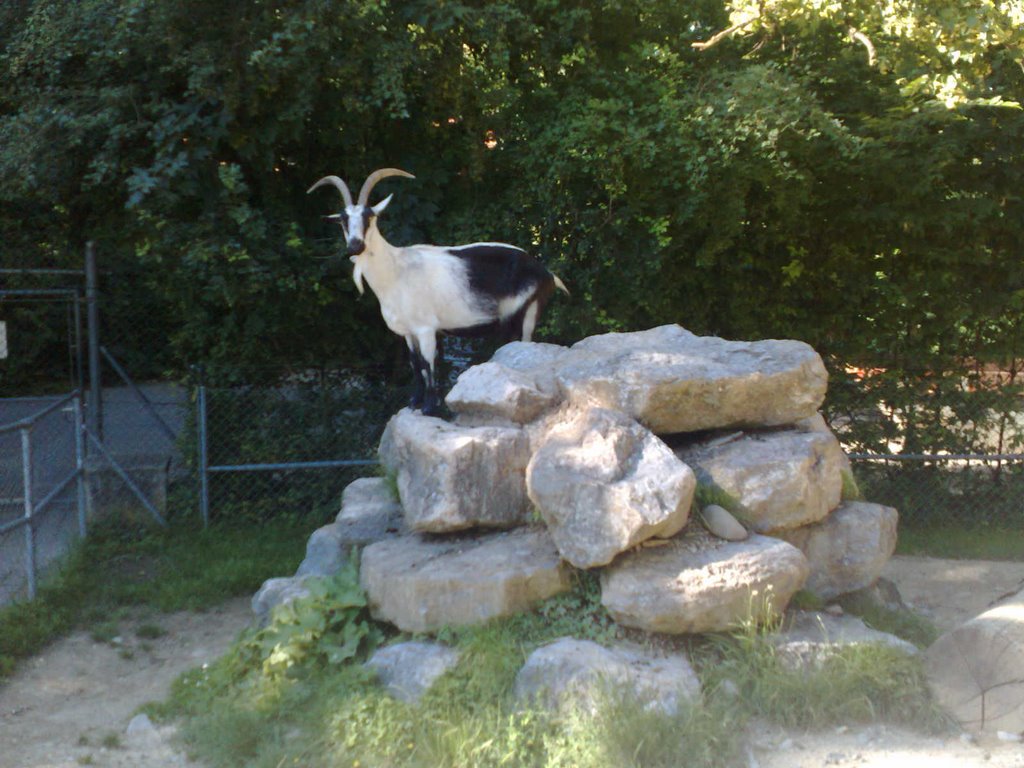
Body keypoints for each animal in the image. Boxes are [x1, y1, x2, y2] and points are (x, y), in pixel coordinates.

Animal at [307, 165, 573, 411]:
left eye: (369, 216)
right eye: (343, 220)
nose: (355, 246)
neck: (395, 272)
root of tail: (547, 273)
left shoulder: (426, 329)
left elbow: (428, 365)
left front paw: (429, 407)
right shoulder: (408, 332)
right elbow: (415, 365)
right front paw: (414, 403)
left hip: (528, 311)